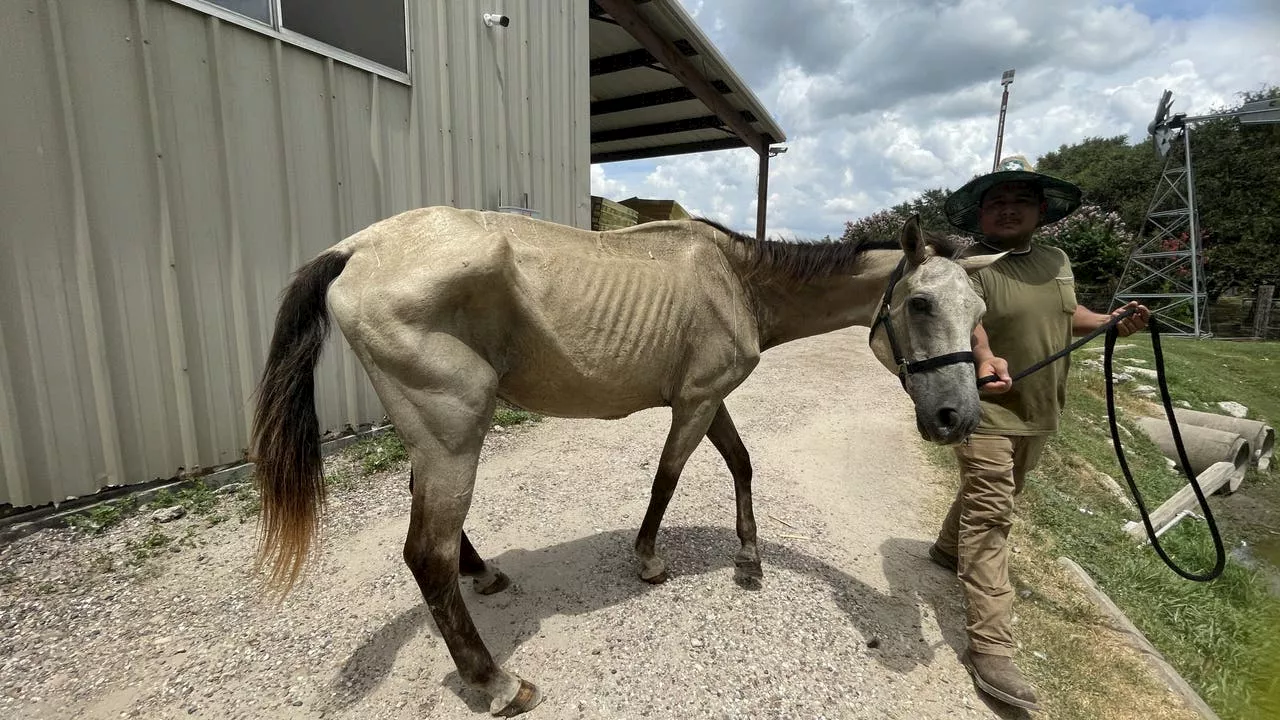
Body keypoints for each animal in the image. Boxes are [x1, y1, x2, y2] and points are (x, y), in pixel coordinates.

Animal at [249, 206, 1003, 712]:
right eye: (920, 302)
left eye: (979, 311)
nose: (958, 418)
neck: (736, 279)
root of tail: (356, 247)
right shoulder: (695, 403)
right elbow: (668, 478)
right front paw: (648, 560)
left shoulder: (712, 398)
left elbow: (742, 464)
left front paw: (749, 557)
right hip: (453, 434)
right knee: (424, 555)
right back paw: (495, 683)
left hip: (437, 437)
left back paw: (484, 574)